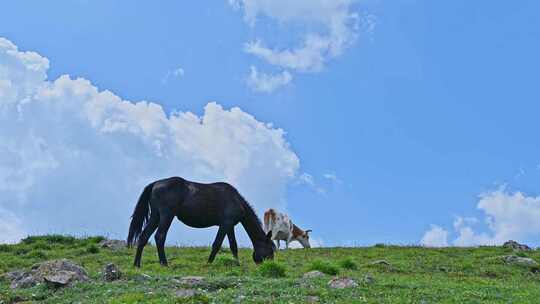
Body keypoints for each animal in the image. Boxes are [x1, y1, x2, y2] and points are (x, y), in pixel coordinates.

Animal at [126, 177, 274, 268]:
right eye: (271, 249)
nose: (270, 264)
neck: (236, 199)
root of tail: (155, 184)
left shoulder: (229, 225)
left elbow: (233, 245)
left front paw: (236, 263)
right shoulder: (225, 224)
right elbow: (217, 244)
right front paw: (208, 263)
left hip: (156, 216)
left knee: (144, 236)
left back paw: (137, 264)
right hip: (166, 215)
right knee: (160, 236)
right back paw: (164, 263)